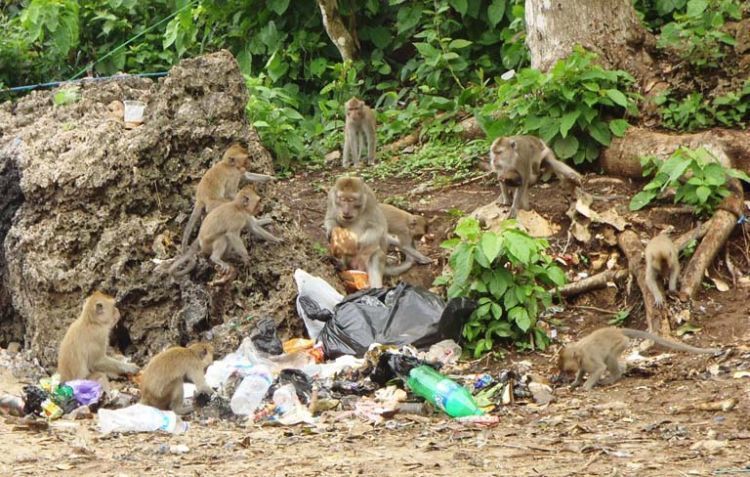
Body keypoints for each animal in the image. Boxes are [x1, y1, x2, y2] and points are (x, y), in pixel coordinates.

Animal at [560, 328, 724, 390]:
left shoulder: (588, 360)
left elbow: (600, 368)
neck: (579, 353)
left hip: (621, 342)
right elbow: (582, 370)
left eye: (566, 370)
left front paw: (586, 386)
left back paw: (614, 377)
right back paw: (622, 370)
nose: (562, 376)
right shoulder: (583, 363)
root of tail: (618, 330)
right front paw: (576, 382)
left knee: (610, 358)